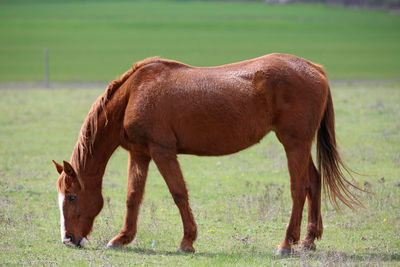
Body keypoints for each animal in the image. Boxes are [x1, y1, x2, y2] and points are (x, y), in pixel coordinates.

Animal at [52, 52, 362, 255]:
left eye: (72, 196)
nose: (68, 239)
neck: (134, 93)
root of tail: (314, 69)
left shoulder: (162, 151)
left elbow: (178, 193)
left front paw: (187, 241)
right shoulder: (140, 154)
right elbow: (133, 196)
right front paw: (122, 238)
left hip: (294, 143)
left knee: (299, 188)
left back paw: (287, 243)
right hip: (300, 145)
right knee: (314, 181)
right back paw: (308, 240)